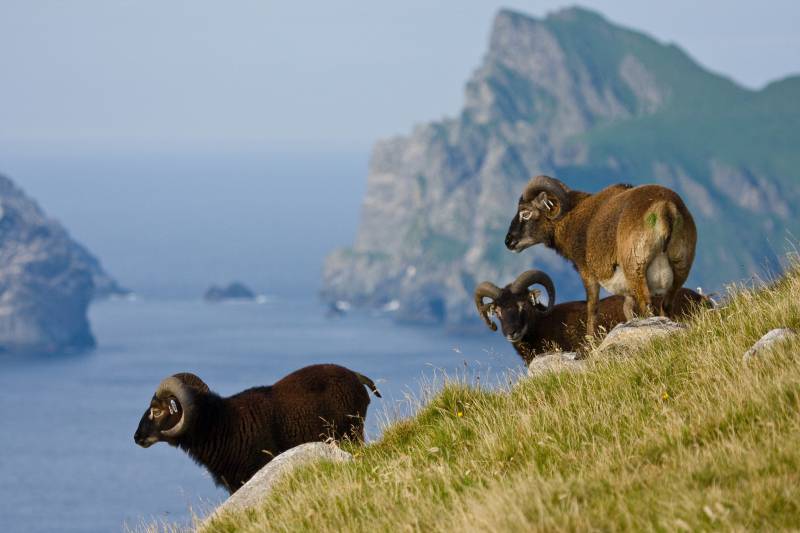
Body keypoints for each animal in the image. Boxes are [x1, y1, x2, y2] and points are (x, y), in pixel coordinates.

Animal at [510, 176, 696, 332]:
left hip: (636, 268)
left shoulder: (588, 274)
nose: (509, 241)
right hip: (680, 268)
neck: (572, 220)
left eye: (525, 213)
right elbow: (627, 310)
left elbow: (592, 309)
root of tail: (665, 208)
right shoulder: (627, 292)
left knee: (647, 306)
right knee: (666, 306)